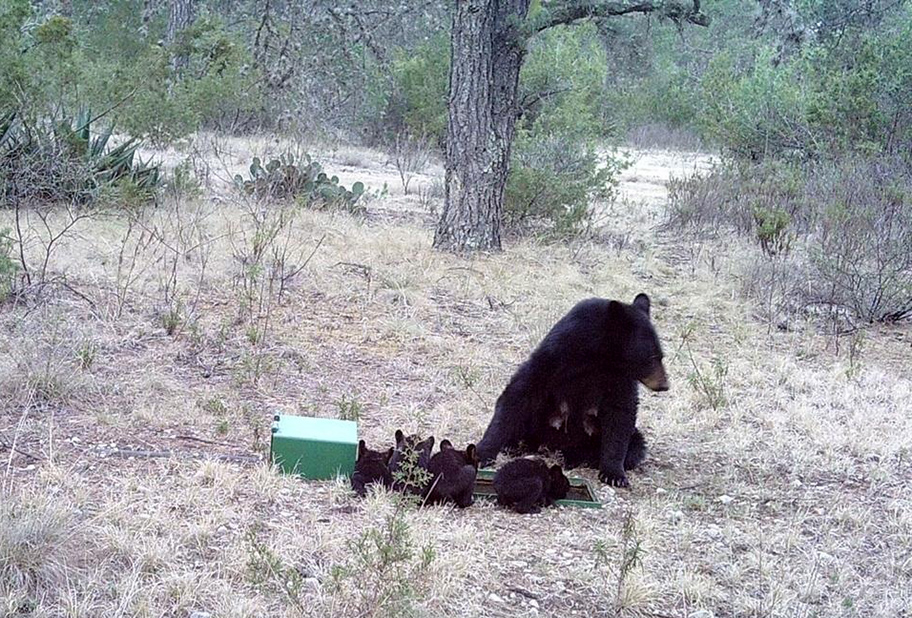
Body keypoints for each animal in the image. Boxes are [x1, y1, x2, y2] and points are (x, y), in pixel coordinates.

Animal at [475, 293, 668, 488]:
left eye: (661, 356)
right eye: (652, 358)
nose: (665, 385)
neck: (600, 356)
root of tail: (554, 446)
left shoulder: (620, 378)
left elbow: (620, 413)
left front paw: (614, 475)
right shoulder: (558, 352)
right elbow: (521, 392)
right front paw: (483, 452)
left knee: (636, 444)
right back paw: (514, 445)